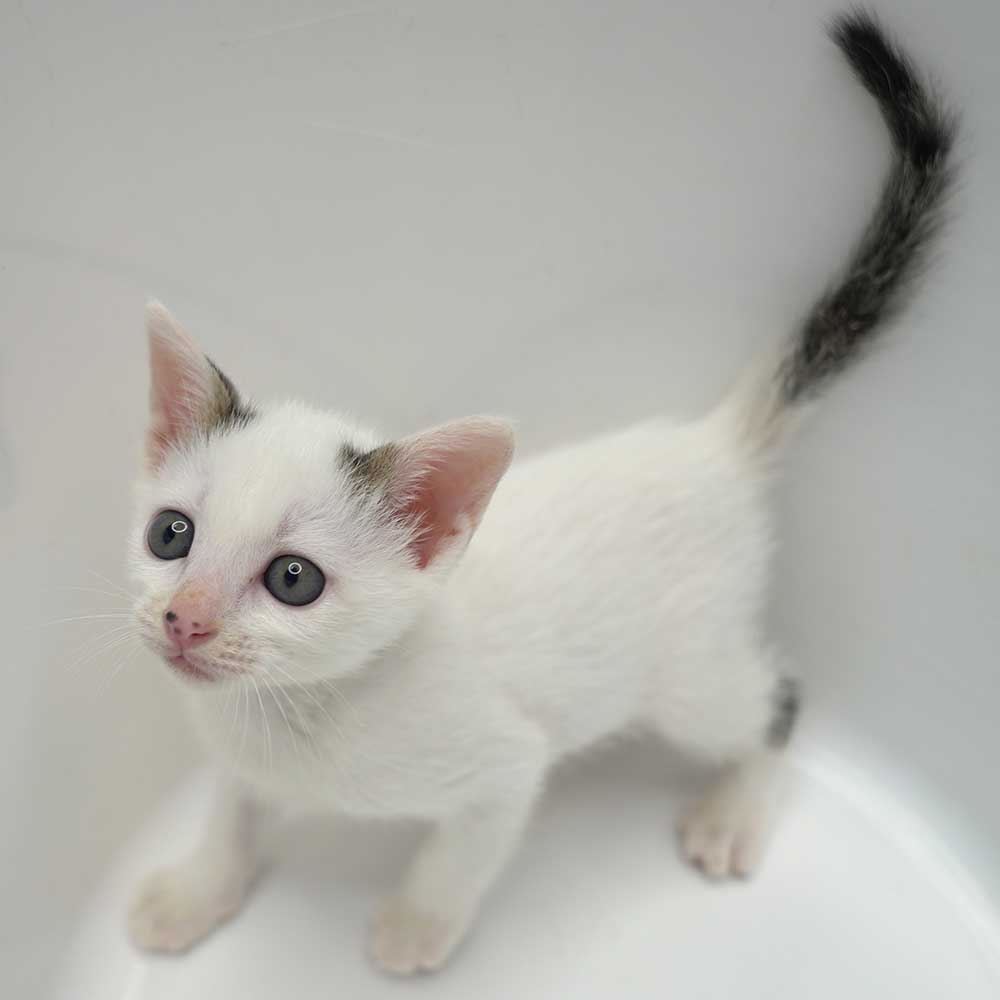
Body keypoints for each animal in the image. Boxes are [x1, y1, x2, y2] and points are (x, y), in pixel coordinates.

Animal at [125, 11, 954, 976]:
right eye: (172, 535)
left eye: (294, 579)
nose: (185, 618)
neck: (292, 713)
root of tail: (713, 445)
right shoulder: (238, 753)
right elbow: (231, 807)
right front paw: (195, 890)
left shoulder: (505, 764)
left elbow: (461, 850)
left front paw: (417, 926)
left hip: (689, 672)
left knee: (777, 700)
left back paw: (734, 810)